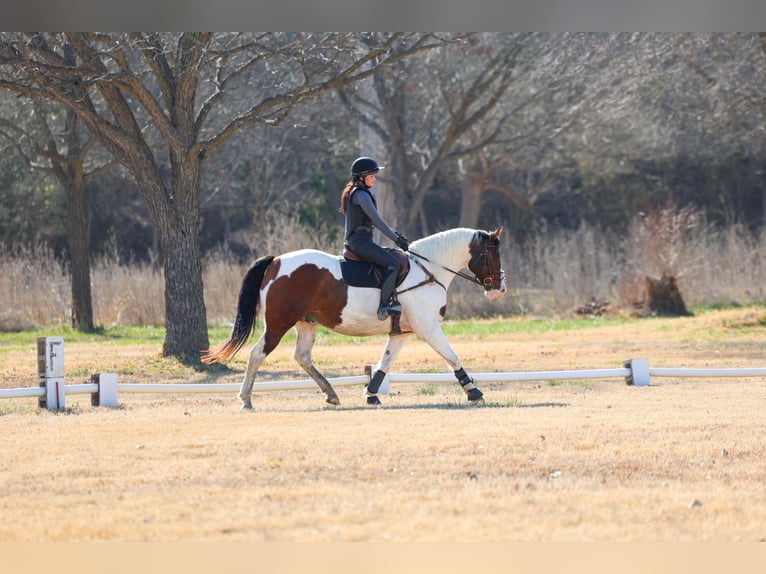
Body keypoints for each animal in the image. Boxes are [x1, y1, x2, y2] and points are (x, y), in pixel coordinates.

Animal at [201, 226, 507, 410]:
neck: (428, 269)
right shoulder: (428, 328)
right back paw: (246, 399)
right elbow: (452, 356)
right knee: (257, 355)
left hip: (306, 324)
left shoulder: (402, 332)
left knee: (302, 357)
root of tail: (276, 262)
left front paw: (371, 393)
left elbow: (385, 362)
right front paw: (473, 391)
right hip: (278, 324)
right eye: (492, 256)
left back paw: (331, 394)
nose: (500, 289)